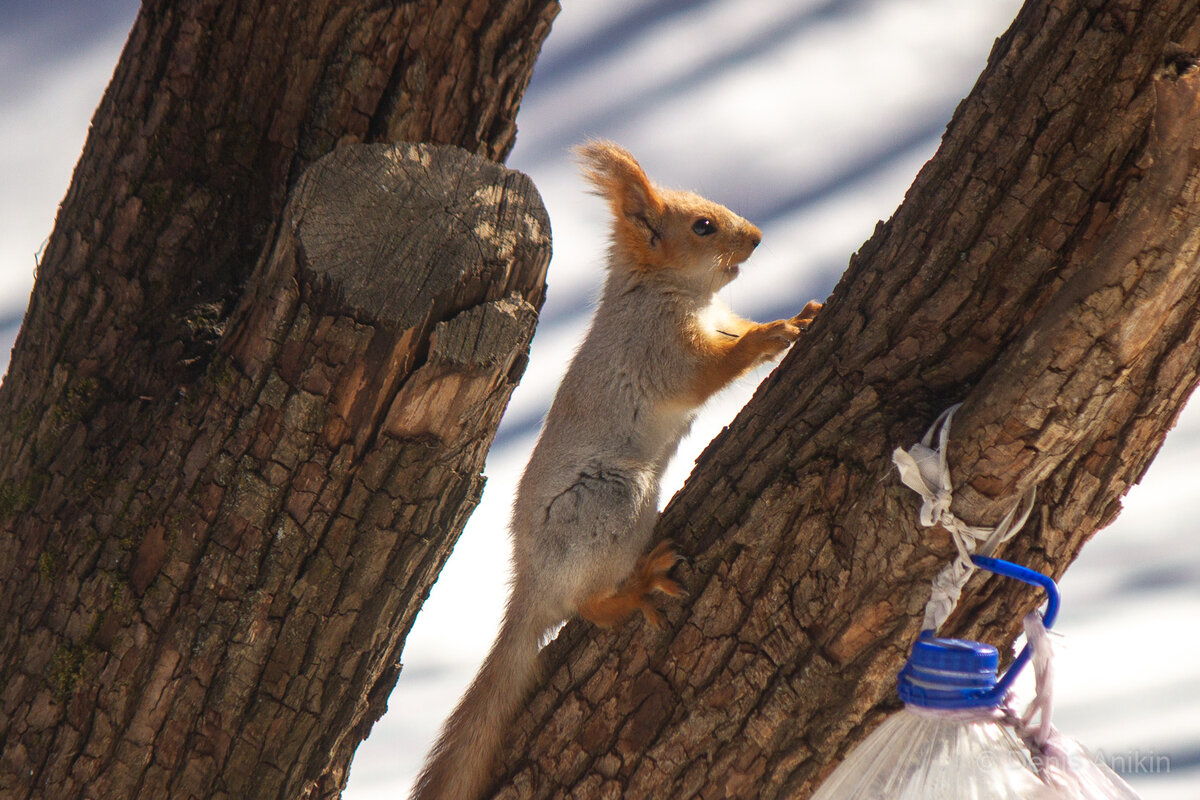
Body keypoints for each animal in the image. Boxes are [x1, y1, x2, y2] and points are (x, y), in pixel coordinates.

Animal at [408, 140, 820, 796]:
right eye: (703, 227)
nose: (756, 238)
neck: (665, 292)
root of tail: (531, 584)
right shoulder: (658, 349)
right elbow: (706, 372)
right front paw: (772, 336)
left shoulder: (716, 317)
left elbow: (735, 329)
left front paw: (796, 317)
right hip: (611, 502)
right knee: (585, 607)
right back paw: (636, 585)